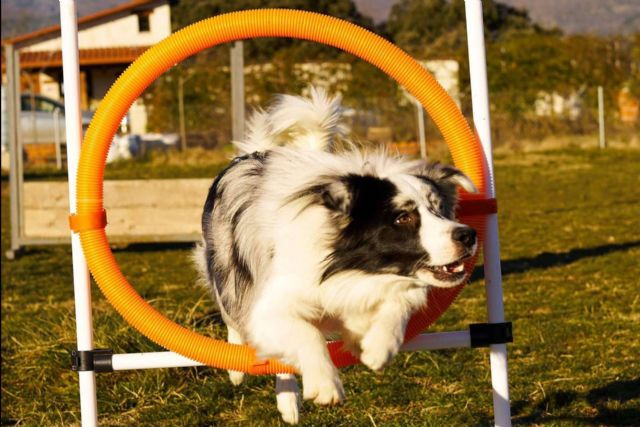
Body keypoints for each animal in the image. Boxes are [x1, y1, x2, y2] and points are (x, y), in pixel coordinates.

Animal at [192, 88, 478, 424]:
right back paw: (260, 382)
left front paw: (378, 346)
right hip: (225, 265)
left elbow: (397, 305)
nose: (468, 235)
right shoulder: (272, 303)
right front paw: (325, 384)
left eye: (439, 209)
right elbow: (305, 333)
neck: (348, 267)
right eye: (403, 218)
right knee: (234, 315)